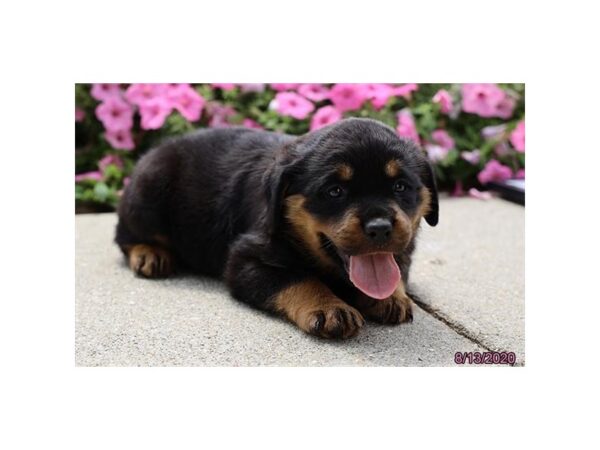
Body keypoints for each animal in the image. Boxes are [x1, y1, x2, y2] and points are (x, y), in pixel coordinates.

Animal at [116, 118, 436, 338]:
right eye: (335, 192)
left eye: (400, 186)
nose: (380, 227)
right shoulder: (245, 260)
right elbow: (298, 279)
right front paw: (331, 307)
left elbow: (397, 270)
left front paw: (393, 297)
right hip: (149, 191)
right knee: (125, 235)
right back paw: (150, 254)